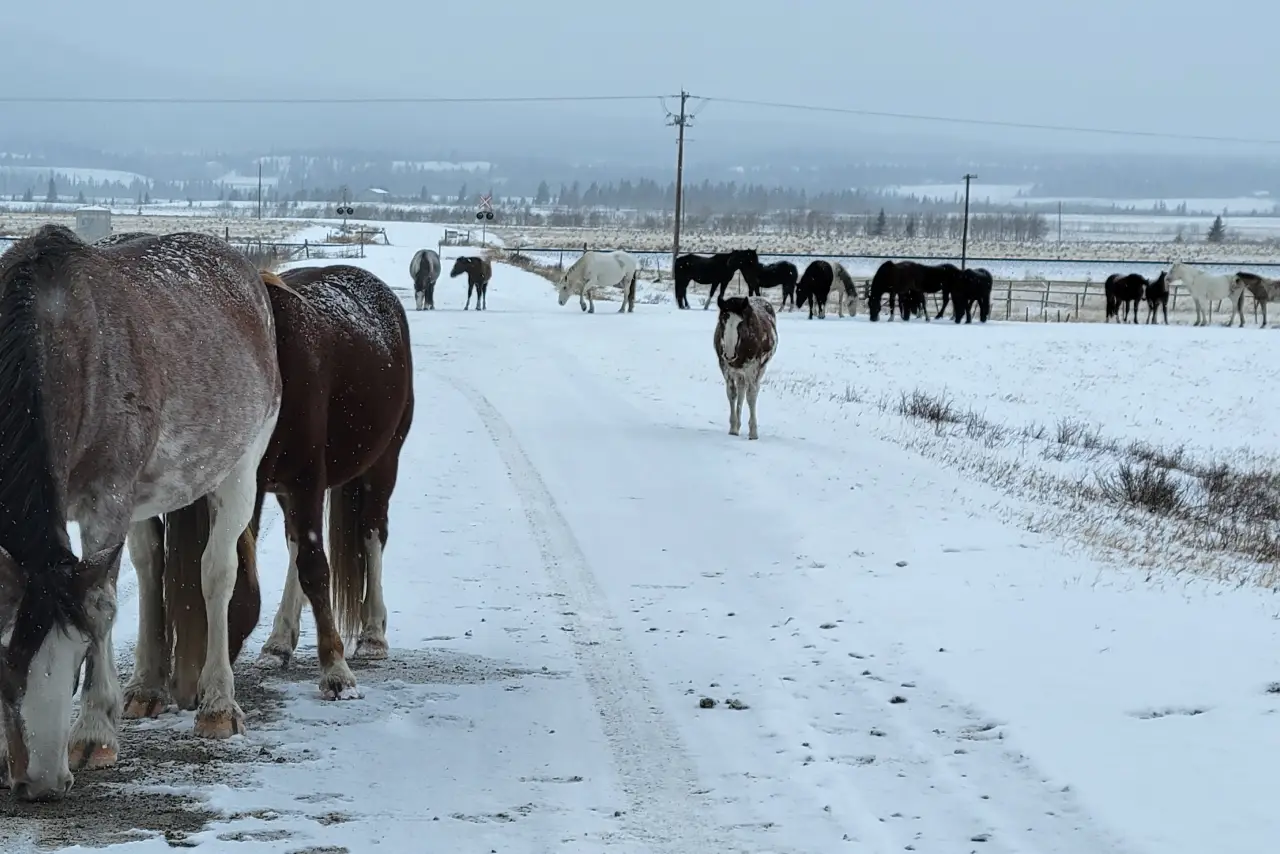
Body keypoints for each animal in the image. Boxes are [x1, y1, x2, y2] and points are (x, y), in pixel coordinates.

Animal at [0, 225, 282, 801]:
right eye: (2, 667)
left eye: (78, 662)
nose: (40, 782)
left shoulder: (105, 500)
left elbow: (104, 606)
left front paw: (93, 734)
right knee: (151, 568)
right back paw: (147, 689)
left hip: (239, 470)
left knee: (216, 573)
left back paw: (218, 704)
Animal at [714, 294, 778, 440]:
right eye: (722, 321)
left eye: (741, 323)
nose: (729, 354)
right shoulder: (726, 368)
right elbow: (732, 394)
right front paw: (733, 428)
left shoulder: (753, 369)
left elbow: (751, 396)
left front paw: (753, 432)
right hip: (739, 373)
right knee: (741, 391)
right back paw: (737, 425)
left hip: (760, 370)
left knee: (752, 391)